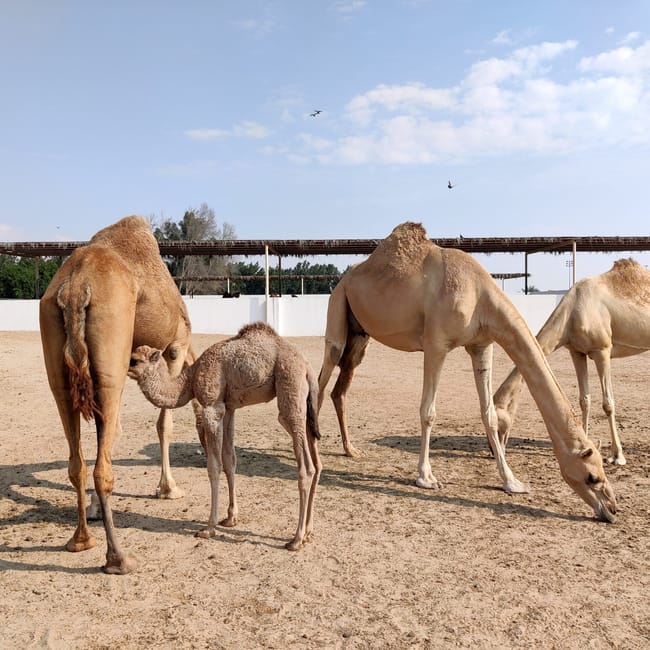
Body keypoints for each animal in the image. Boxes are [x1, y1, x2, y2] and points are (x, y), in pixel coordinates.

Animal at [40, 216, 196, 574]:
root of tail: (75, 288)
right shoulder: (175, 347)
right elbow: (164, 424)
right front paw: (169, 489)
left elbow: (112, 435)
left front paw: (97, 510)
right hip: (111, 352)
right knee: (101, 469)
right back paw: (118, 558)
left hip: (58, 362)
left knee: (77, 461)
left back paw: (81, 540)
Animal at [127, 322, 322, 551]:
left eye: (134, 360)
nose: (123, 368)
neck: (190, 380)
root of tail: (307, 368)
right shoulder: (229, 408)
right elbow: (230, 461)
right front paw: (230, 518)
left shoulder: (212, 407)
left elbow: (214, 467)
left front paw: (208, 528)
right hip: (307, 406)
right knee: (317, 463)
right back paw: (308, 532)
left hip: (290, 389)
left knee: (306, 466)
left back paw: (296, 539)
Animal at [318, 222, 617, 522]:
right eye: (591, 477)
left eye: (603, 471)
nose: (612, 510)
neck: (479, 295)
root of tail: (345, 278)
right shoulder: (435, 344)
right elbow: (428, 412)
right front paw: (426, 478)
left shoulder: (482, 345)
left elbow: (489, 415)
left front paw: (512, 482)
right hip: (338, 308)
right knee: (322, 378)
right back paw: (317, 446)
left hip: (360, 336)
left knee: (339, 389)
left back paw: (350, 450)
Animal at [494, 258, 650, 466]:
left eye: (496, 421)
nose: (493, 450)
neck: (573, 312)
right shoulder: (577, 352)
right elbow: (584, 399)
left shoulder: (602, 350)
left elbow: (608, 403)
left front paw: (617, 455)